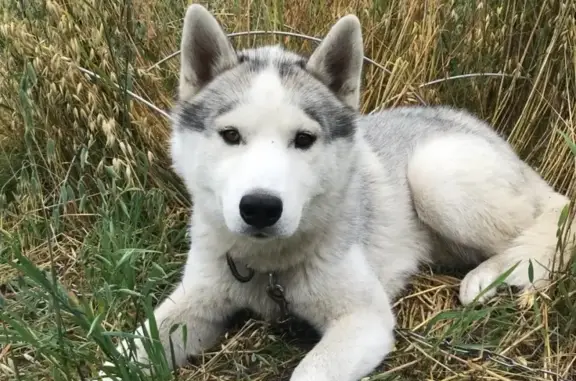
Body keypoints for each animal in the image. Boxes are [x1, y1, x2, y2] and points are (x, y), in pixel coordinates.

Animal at [99, 3, 572, 380]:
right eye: (231, 135)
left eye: (304, 139)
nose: (260, 208)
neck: (270, 269)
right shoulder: (194, 302)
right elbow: (125, 353)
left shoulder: (364, 320)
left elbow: (309, 372)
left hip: (436, 175)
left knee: (553, 220)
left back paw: (494, 275)